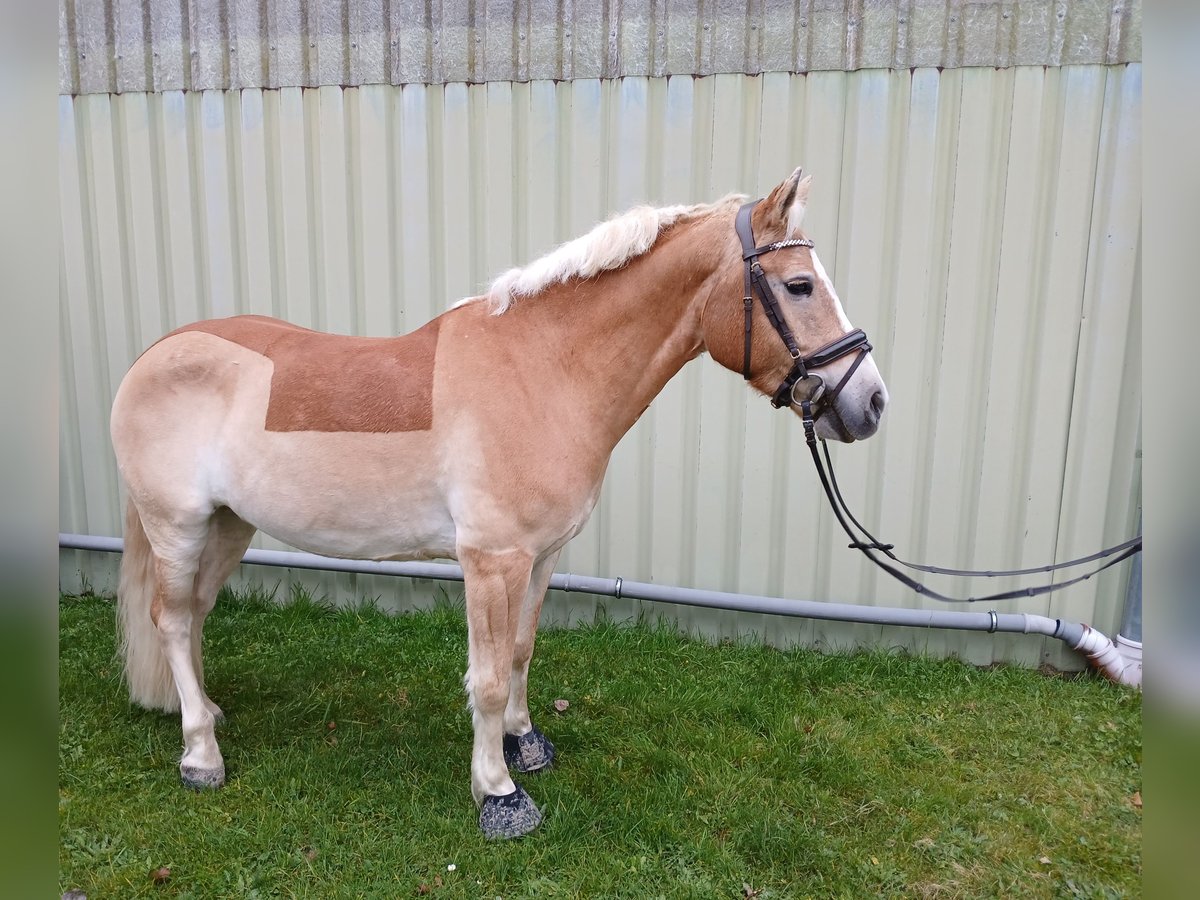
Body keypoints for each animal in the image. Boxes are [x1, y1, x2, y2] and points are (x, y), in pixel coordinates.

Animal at [112, 168, 888, 840]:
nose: (871, 402)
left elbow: (520, 651)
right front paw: (498, 794)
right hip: (177, 526)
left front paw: (524, 744)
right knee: (171, 620)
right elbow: (485, 679)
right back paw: (200, 756)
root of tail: (152, 356)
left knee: (195, 612)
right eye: (799, 285)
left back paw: (207, 713)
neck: (545, 371)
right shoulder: (491, 560)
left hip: (229, 526)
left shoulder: (539, 557)